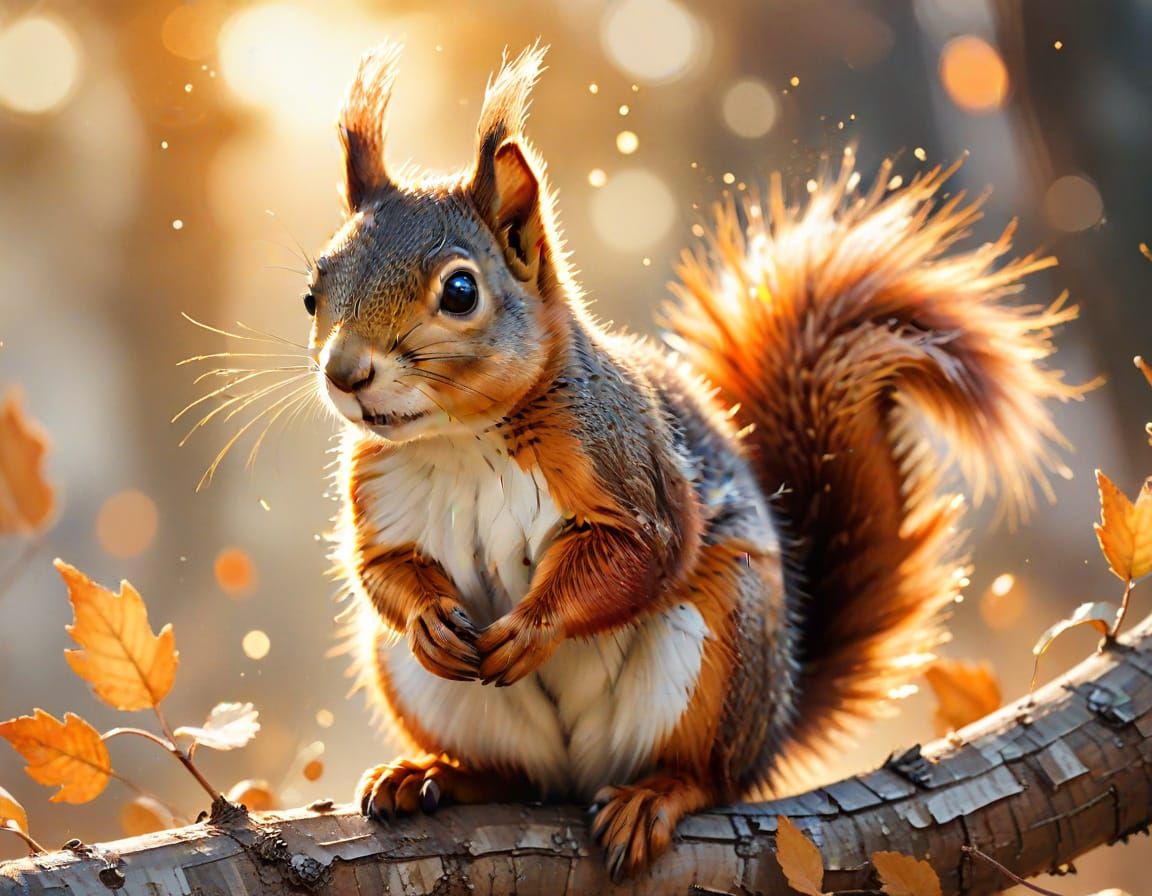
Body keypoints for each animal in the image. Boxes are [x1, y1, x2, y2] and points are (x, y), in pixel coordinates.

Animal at [302, 43, 1083, 878]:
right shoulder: (375, 487)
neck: (462, 437)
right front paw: (428, 619)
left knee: (707, 773)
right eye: (313, 291)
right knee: (512, 774)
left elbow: (637, 554)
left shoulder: (623, 460)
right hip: (424, 688)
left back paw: (656, 794)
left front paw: (533, 629)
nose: (345, 374)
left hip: (721, 648)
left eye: (459, 291)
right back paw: (434, 774)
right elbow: (381, 567)